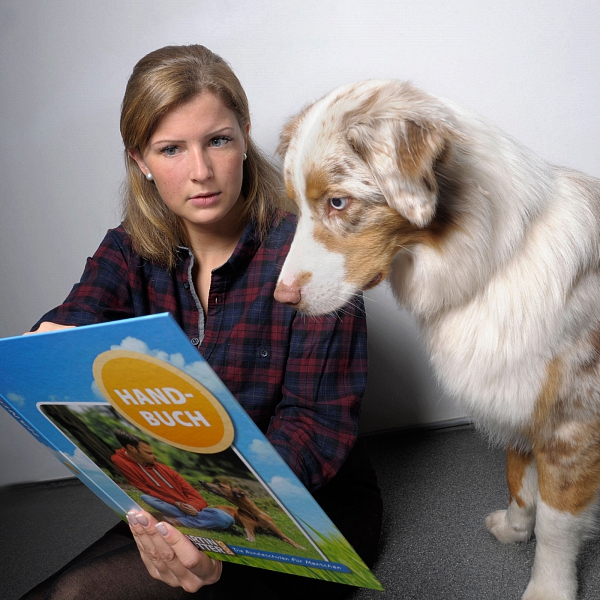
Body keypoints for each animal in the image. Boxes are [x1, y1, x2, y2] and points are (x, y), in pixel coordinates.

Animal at [274, 81, 600, 600]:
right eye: (298, 206)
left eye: (338, 203)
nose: (280, 299)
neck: (492, 261)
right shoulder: (513, 392)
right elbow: (517, 477)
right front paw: (516, 528)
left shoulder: (571, 423)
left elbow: (556, 524)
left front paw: (548, 587)